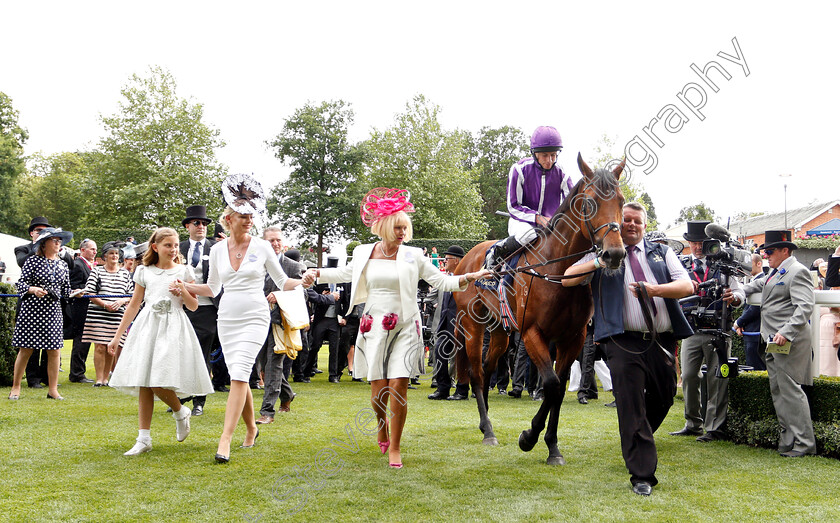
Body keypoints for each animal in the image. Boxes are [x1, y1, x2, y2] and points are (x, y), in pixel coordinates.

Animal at [452, 154, 624, 464]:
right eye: (590, 203)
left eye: (621, 200)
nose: (614, 253)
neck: (558, 271)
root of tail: (467, 259)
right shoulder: (533, 333)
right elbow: (553, 384)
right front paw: (529, 437)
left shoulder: (574, 338)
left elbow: (559, 387)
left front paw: (552, 447)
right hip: (473, 325)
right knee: (476, 372)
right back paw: (488, 430)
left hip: (501, 331)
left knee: (487, 367)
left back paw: (487, 422)